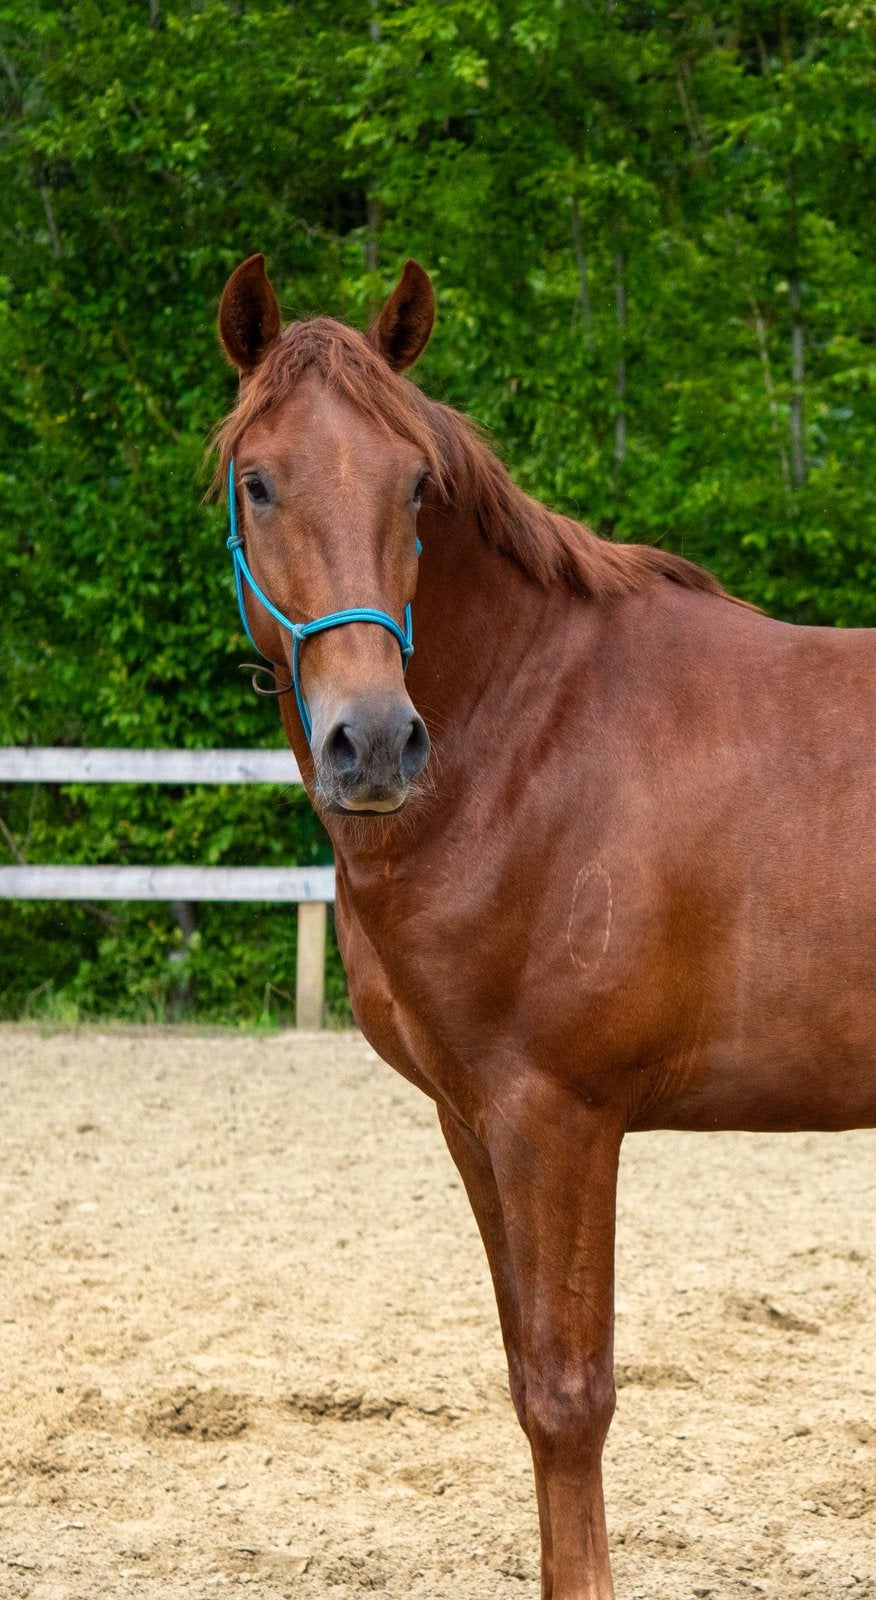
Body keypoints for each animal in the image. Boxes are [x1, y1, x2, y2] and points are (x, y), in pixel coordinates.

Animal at [213, 253, 876, 1600]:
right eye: (259, 480)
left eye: (416, 483)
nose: (374, 743)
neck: (533, 734)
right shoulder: (474, 1120)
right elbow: (527, 1379)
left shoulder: (559, 1117)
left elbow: (570, 1397)